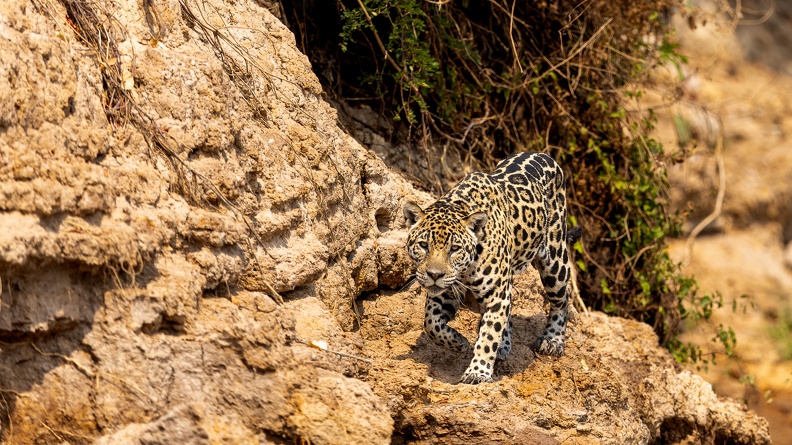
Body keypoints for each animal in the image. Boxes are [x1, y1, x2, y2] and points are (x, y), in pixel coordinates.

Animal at [403, 151, 582, 384]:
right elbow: (431, 323)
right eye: (424, 245)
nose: (434, 275)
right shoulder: (444, 293)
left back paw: (553, 340)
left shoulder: (496, 293)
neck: (466, 269)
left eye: (455, 248)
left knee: (562, 300)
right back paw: (504, 345)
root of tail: (542, 154)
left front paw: (478, 371)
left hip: (555, 260)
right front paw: (459, 342)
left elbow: (489, 335)